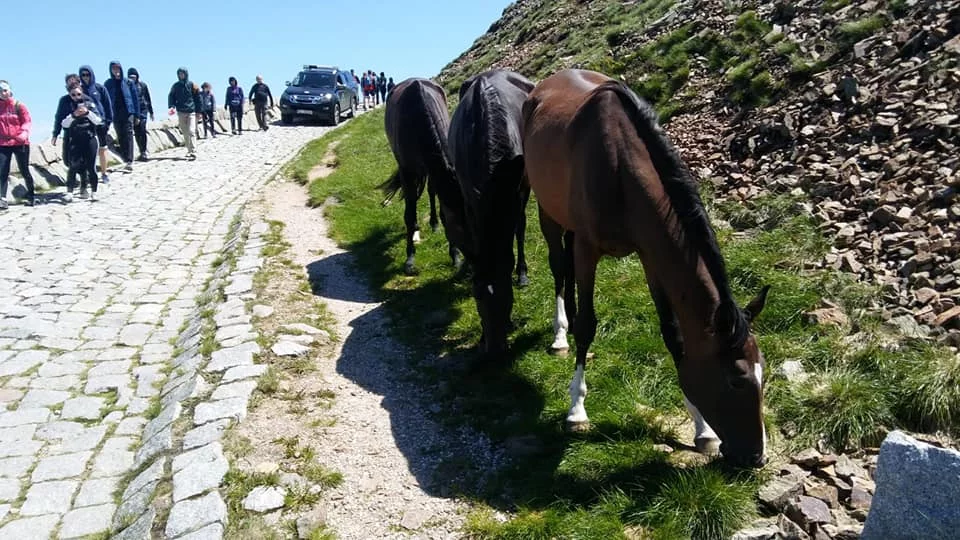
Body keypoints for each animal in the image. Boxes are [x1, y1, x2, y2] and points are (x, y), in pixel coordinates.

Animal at [382, 76, 472, 274]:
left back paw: (433, 223)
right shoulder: (407, 171)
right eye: (458, 226)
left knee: (431, 191)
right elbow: (409, 215)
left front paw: (455, 256)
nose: (473, 264)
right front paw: (410, 259)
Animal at [448, 69, 536, 360]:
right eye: (477, 298)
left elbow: (517, 229)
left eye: (507, 298)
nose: (495, 351)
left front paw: (519, 274)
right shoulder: (468, 195)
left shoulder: (517, 190)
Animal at [520, 69, 768, 468]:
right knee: (559, 269)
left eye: (763, 374)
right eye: (735, 379)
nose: (756, 458)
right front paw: (576, 409)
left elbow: (673, 334)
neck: (620, 167)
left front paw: (703, 429)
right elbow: (588, 324)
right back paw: (561, 335)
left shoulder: (651, 255)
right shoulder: (589, 249)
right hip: (548, 212)